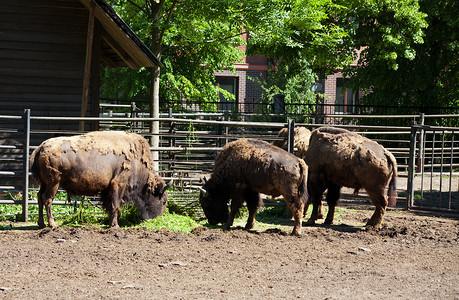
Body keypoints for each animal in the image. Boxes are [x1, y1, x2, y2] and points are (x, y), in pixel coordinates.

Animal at [31, 131, 171, 227]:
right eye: (163, 201)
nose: (158, 218)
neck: (137, 163)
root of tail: (41, 147)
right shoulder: (118, 184)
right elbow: (115, 205)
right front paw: (115, 225)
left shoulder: (108, 189)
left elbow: (110, 205)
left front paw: (111, 223)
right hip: (54, 183)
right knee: (47, 199)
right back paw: (52, 224)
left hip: (44, 183)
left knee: (39, 197)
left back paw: (41, 224)